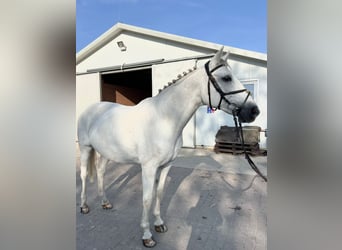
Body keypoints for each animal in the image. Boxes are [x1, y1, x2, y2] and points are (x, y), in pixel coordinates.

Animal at [77, 47, 260, 248]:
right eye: (226, 78)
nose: (254, 111)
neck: (164, 119)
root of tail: (90, 109)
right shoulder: (148, 168)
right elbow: (147, 198)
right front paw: (147, 235)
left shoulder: (166, 165)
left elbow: (159, 193)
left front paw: (159, 224)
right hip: (85, 149)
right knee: (84, 175)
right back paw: (84, 206)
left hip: (105, 153)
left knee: (101, 173)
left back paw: (105, 202)